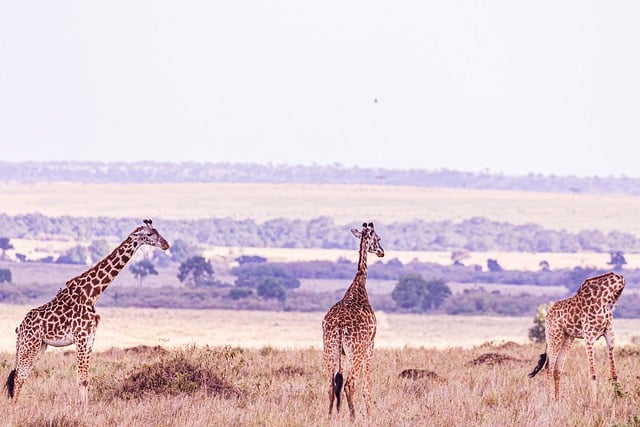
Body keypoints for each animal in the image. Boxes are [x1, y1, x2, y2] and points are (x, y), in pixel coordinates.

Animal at [2, 221, 171, 404]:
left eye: (157, 231)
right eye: (149, 234)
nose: (166, 245)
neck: (92, 294)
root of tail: (20, 327)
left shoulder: (90, 337)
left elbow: (86, 378)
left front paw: (86, 407)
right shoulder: (80, 337)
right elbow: (81, 378)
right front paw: (81, 408)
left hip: (39, 346)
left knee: (21, 375)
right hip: (30, 344)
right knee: (19, 375)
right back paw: (15, 406)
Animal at [320, 224, 384, 422]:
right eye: (378, 239)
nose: (382, 252)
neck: (359, 284)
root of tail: (340, 326)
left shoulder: (344, 352)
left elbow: (337, 383)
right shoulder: (370, 344)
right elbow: (367, 387)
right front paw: (370, 417)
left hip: (330, 348)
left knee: (331, 384)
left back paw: (330, 417)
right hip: (357, 351)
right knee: (350, 384)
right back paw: (353, 417)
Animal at [528, 274, 628, 402]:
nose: (612, 308)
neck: (602, 297)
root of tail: (547, 314)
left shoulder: (610, 335)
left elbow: (614, 372)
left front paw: (619, 397)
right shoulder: (589, 337)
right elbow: (593, 372)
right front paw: (594, 402)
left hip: (567, 338)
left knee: (557, 368)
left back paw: (557, 400)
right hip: (554, 336)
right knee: (548, 367)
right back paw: (549, 400)